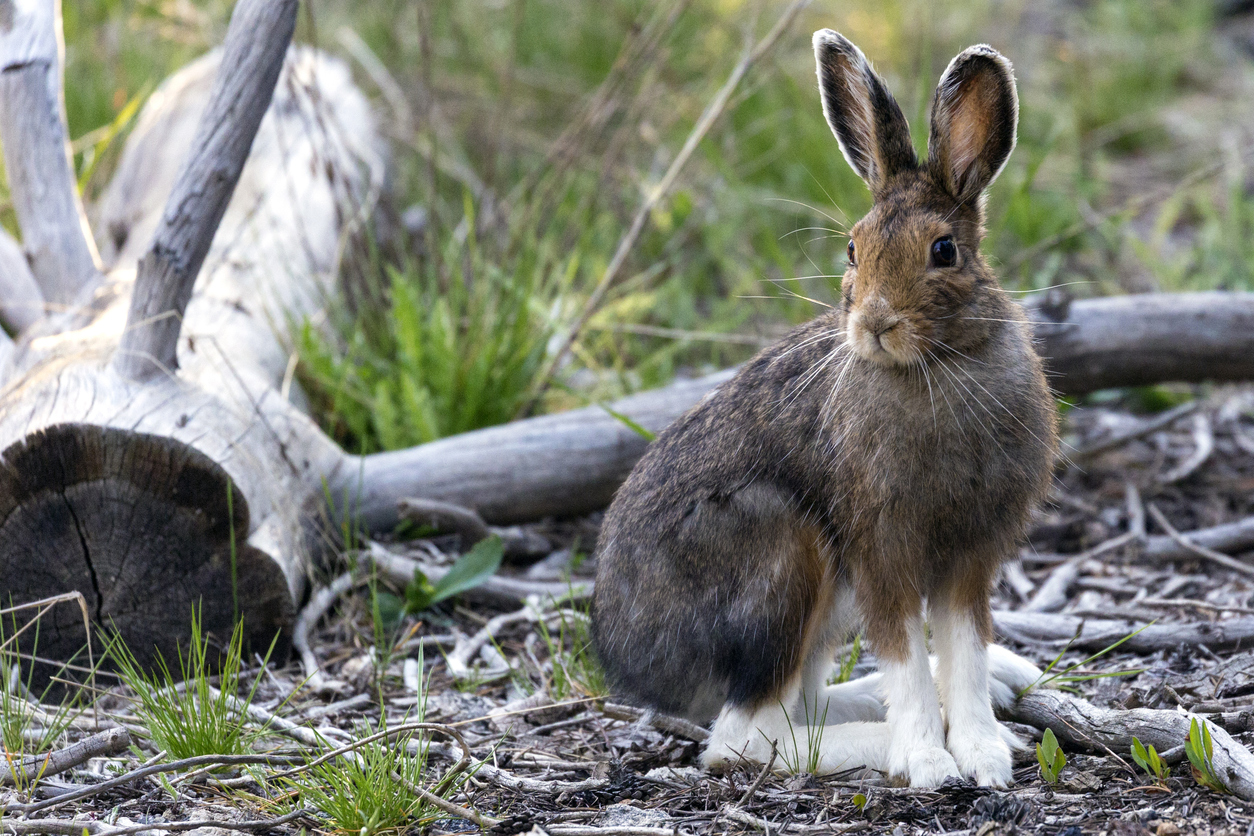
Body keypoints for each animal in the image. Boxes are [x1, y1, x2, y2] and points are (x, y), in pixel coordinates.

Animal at [590, 30, 1057, 788]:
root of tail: (632, 661)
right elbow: (902, 653)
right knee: (746, 737)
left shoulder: (970, 557)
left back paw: (993, 683)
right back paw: (884, 744)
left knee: (797, 705)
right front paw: (930, 760)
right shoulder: (879, 550)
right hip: (785, 550)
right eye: (851, 249)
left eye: (945, 250)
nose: (874, 322)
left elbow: (964, 648)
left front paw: (984, 751)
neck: (930, 369)